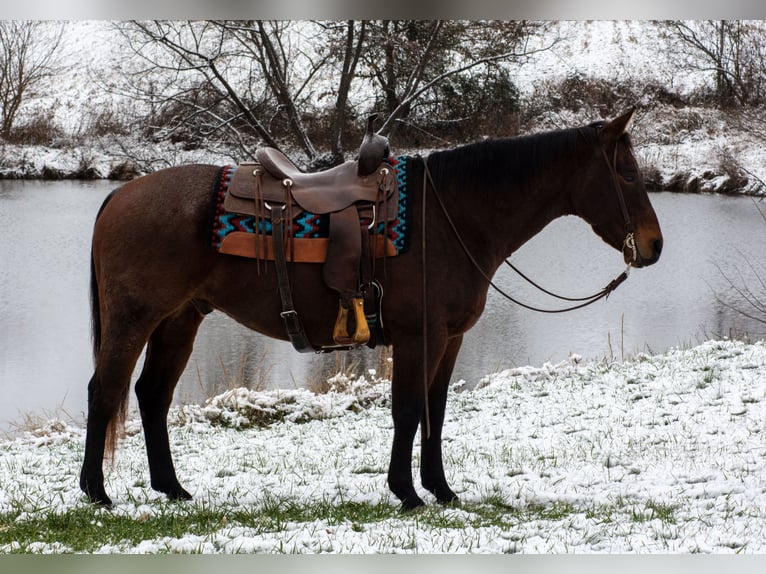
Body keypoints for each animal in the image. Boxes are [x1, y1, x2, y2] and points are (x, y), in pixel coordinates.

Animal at [79, 109, 663, 510]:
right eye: (627, 174)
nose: (654, 245)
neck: (450, 217)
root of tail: (119, 195)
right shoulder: (418, 336)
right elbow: (407, 410)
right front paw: (406, 492)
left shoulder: (449, 339)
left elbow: (435, 411)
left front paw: (441, 489)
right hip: (135, 319)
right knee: (105, 391)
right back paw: (96, 492)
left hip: (179, 320)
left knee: (152, 395)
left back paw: (171, 488)